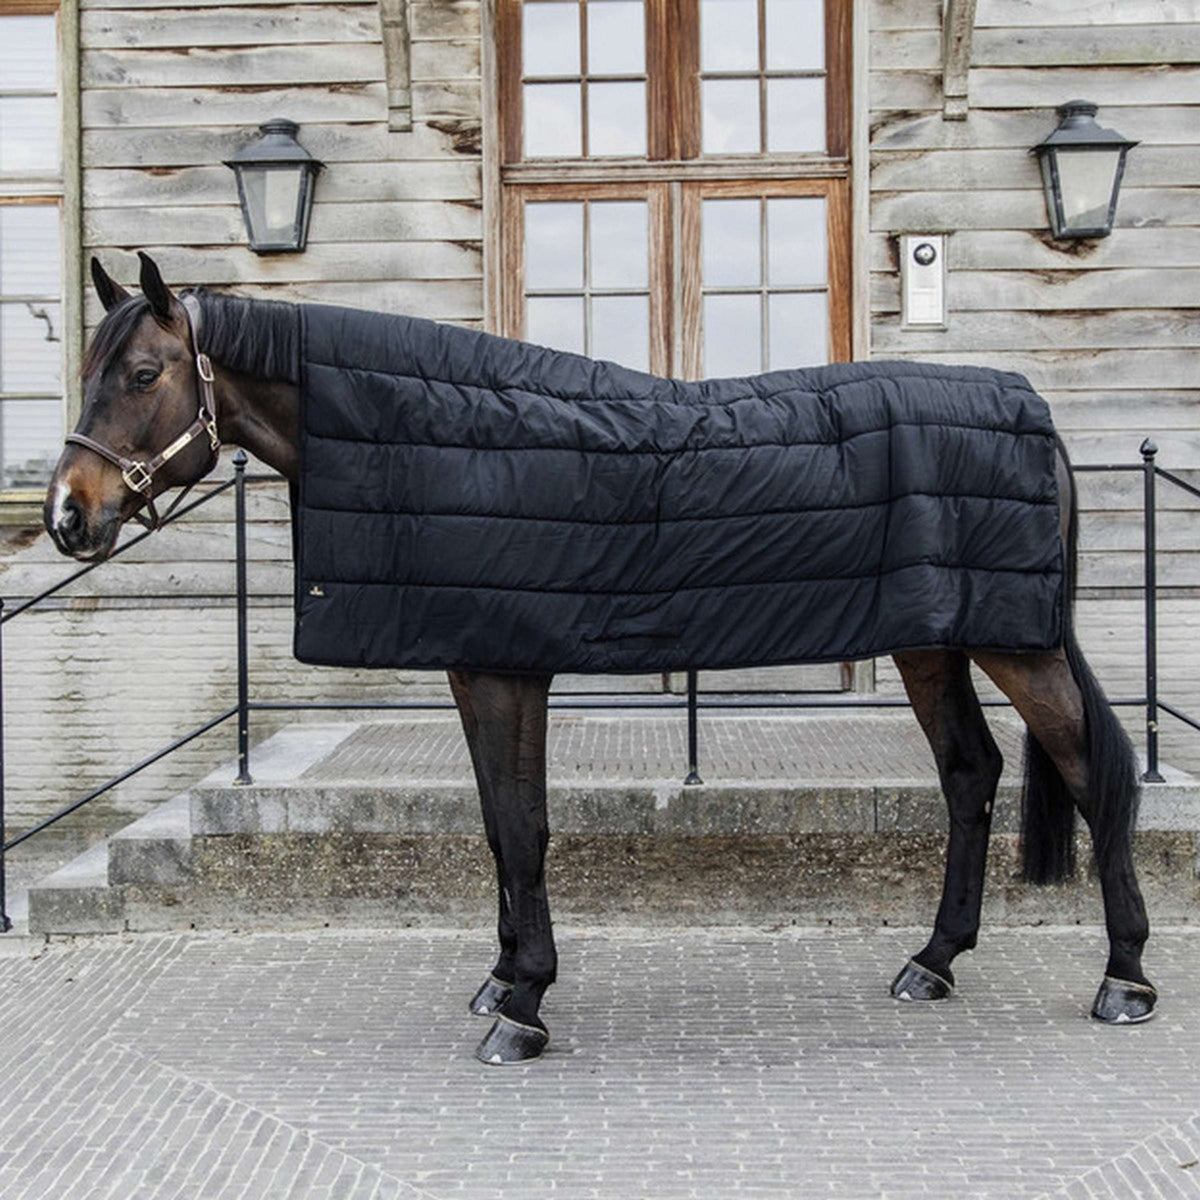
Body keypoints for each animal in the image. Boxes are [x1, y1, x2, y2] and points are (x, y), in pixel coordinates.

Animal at [44, 251, 1156, 1064]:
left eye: (142, 375)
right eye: (89, 373)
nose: (66, 516)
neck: (443, 435)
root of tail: (1033, 411)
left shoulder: (507, 668)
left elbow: (525, 829)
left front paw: (524, 1006)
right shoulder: (478, 661)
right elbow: (500, 830)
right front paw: (503, 978)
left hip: (1014, 643)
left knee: (1091, 770)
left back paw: (1126, 979)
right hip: (935, 641)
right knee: (972, 772)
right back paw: (933, 962)